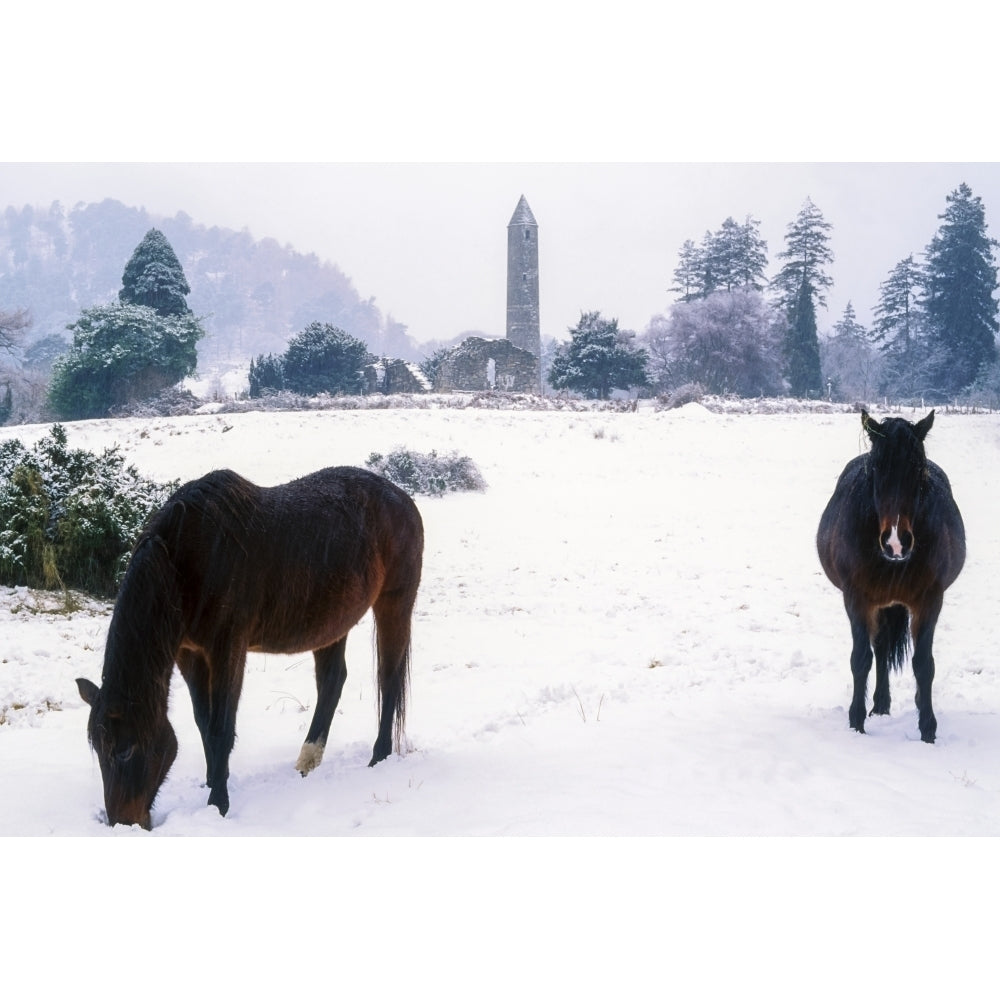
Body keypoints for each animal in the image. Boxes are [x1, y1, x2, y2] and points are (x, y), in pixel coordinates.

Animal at [76, 468, 422, 828]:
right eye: (97, 748)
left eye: (124, 750)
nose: (122, 822)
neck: (184, 559)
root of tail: (402, 499)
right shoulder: (189, 654)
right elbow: (204, 721)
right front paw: (213, 782)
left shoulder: (227, 648)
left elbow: (221, 727)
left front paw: (218, 804)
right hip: (332, 624)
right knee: (332, 681)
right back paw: (307, 761)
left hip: (394, 603)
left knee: (389, 679)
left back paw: (378, 757)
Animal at [816, 406, 964, 744]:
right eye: (877, 469)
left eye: (918, 471)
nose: (896, 542)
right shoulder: (857, 599)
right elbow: (861, 659)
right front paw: (856, 724)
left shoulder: (929, 601)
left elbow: (924, 664)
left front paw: (928, 730)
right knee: (880, 649)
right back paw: (880, 705)